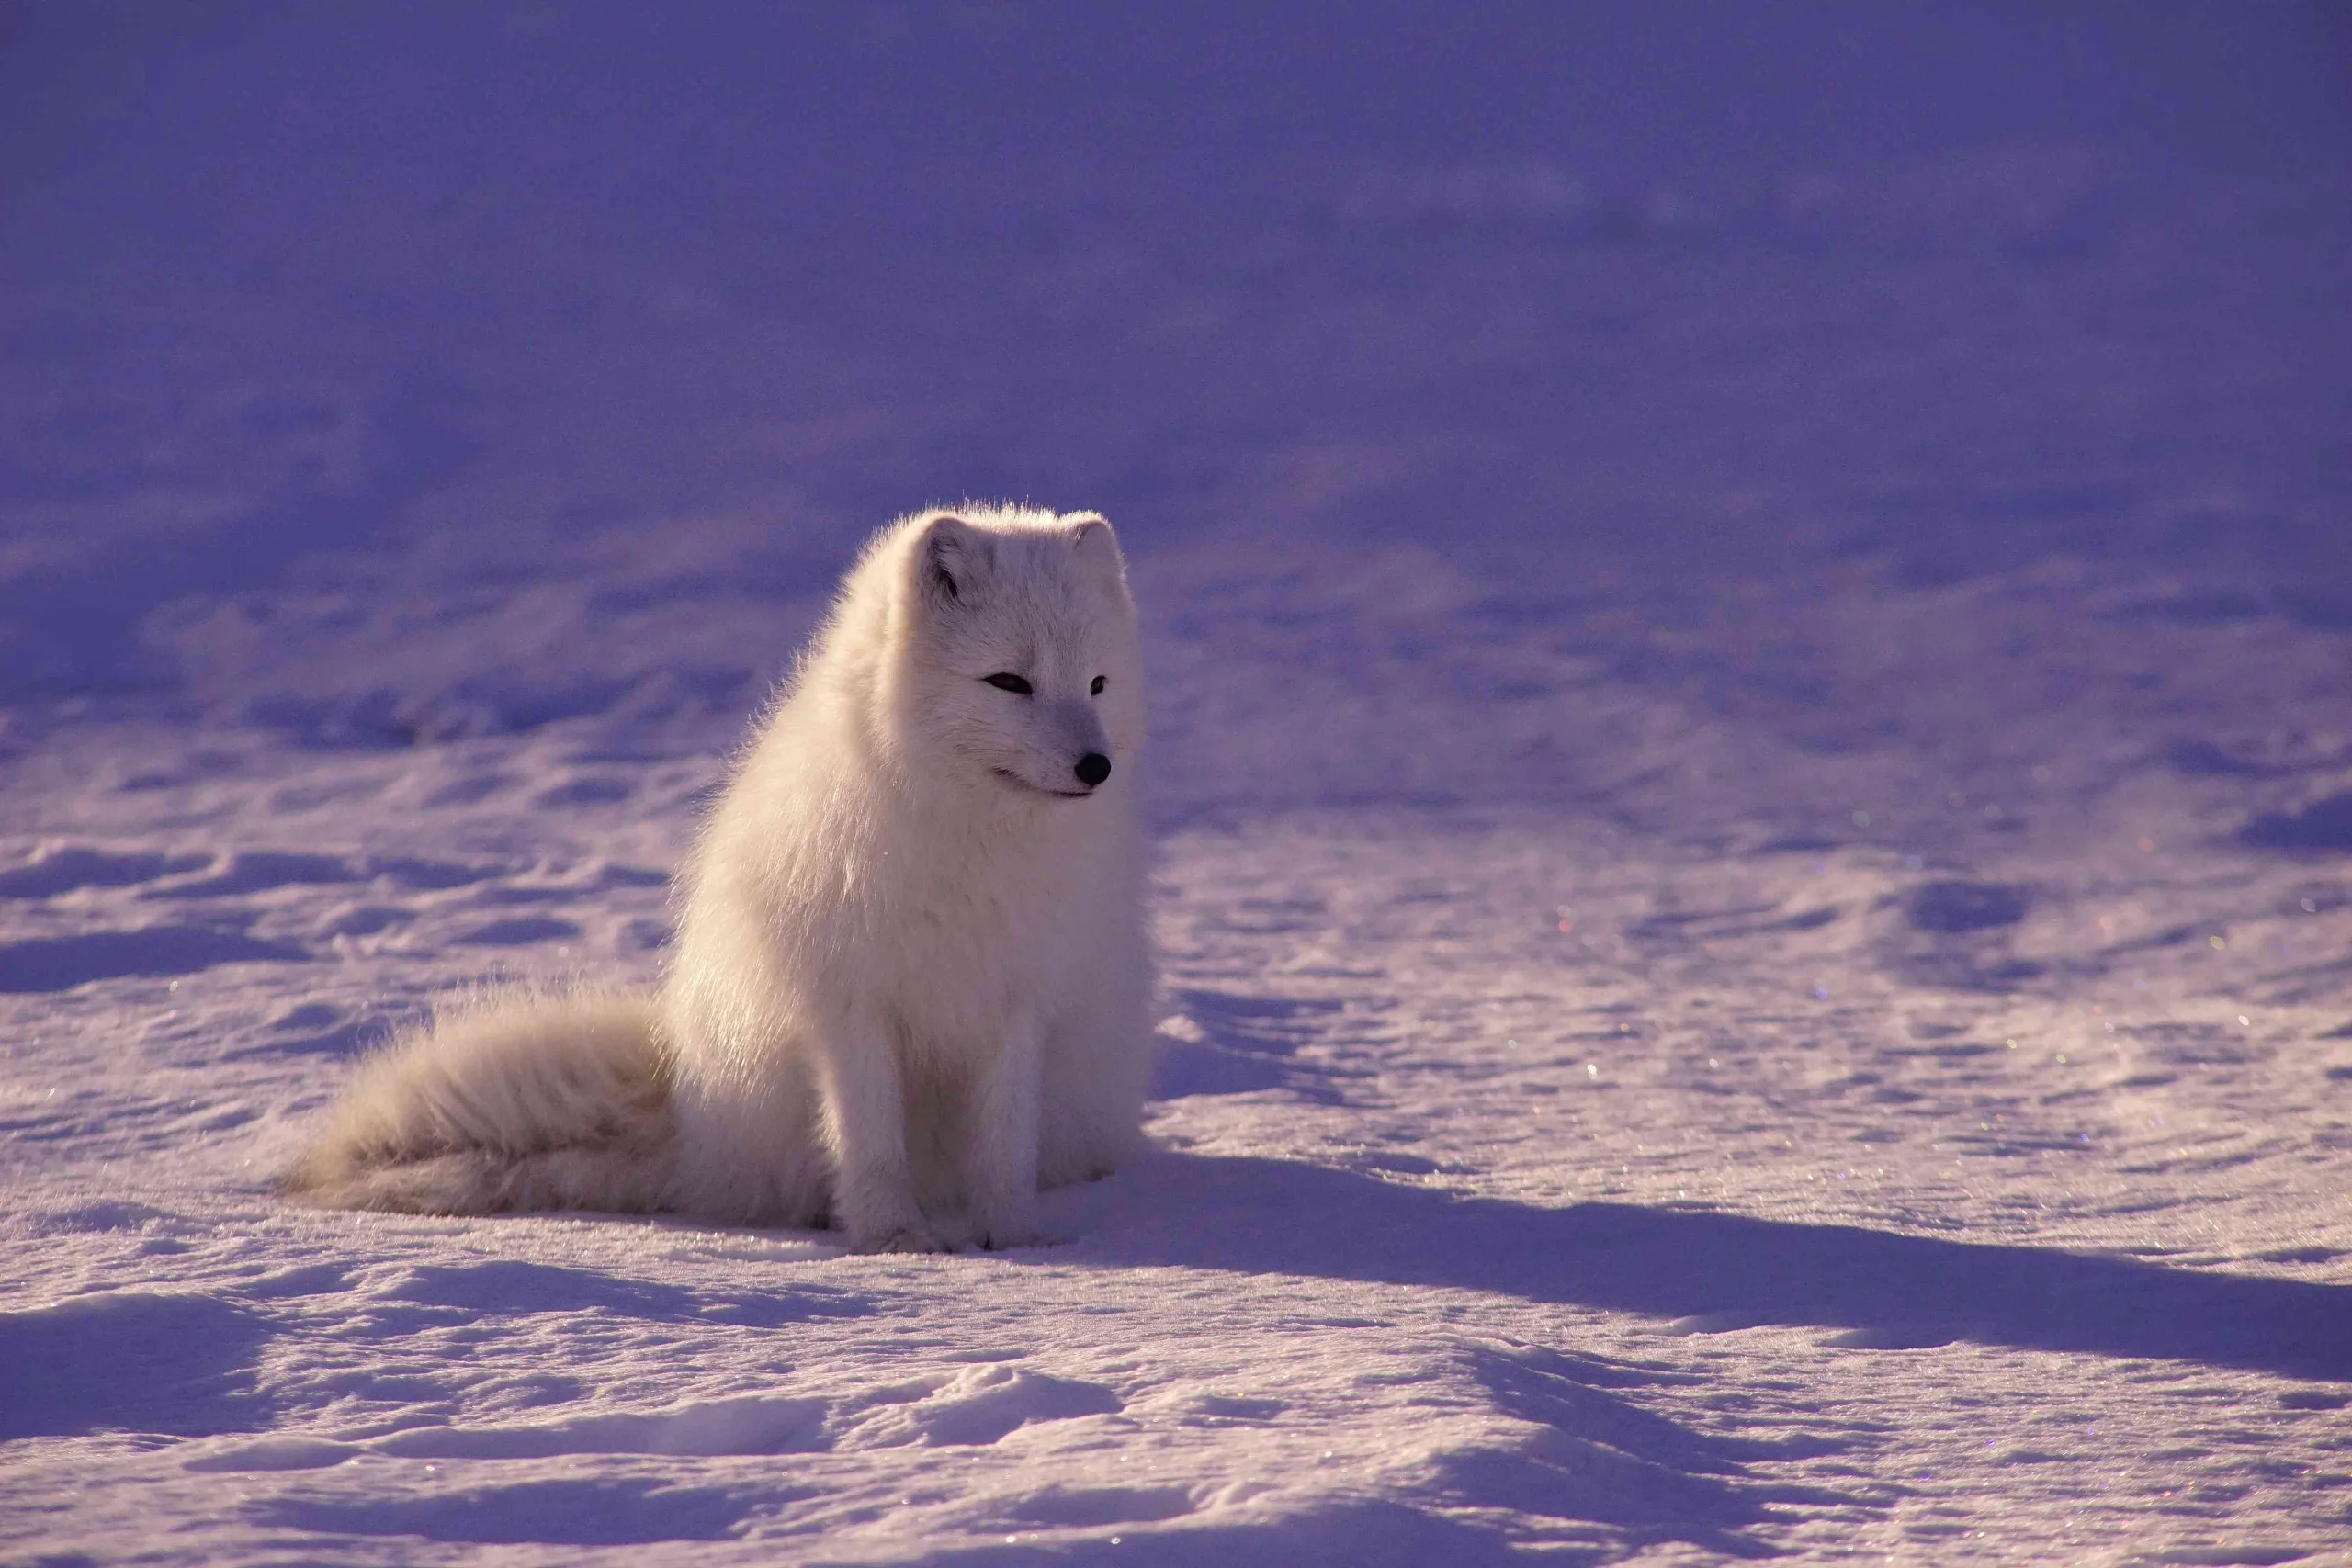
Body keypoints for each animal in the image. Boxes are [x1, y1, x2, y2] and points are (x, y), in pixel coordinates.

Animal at [284, 510, 1157, 1259]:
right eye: (1008, 682)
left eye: (1097, 684)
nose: (1096, 767)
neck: (970, 842)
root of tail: (691, 1118)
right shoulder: (849, 1004)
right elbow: (870, 1141)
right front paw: (895, 1239)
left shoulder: (1017, 1003)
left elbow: (1004, 1147)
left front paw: (1012, 1239)